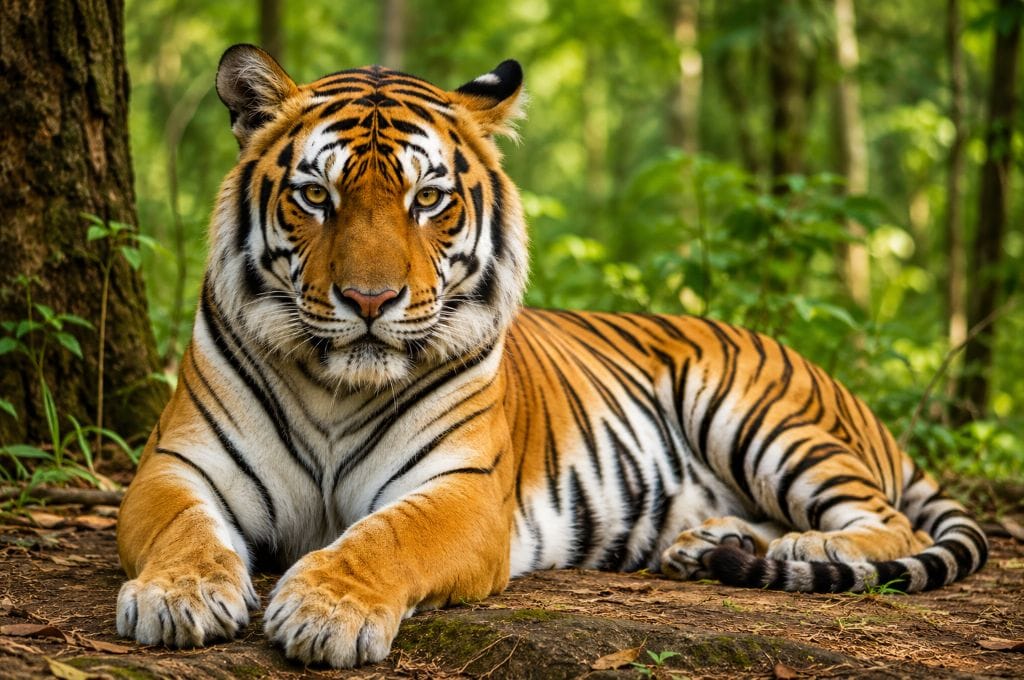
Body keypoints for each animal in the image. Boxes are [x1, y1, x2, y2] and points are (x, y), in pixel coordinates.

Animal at [115, 44, 988, 669]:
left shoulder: (464, 490)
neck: (338, 388)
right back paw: (707, 545)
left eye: (427, 199)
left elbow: (386, 536)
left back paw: (801, 546)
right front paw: (177, 598)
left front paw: (326, 611)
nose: (369, 301)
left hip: (758, 416)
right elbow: (183, 529)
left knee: (887, 522)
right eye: (315, 196)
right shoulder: (177, 463)